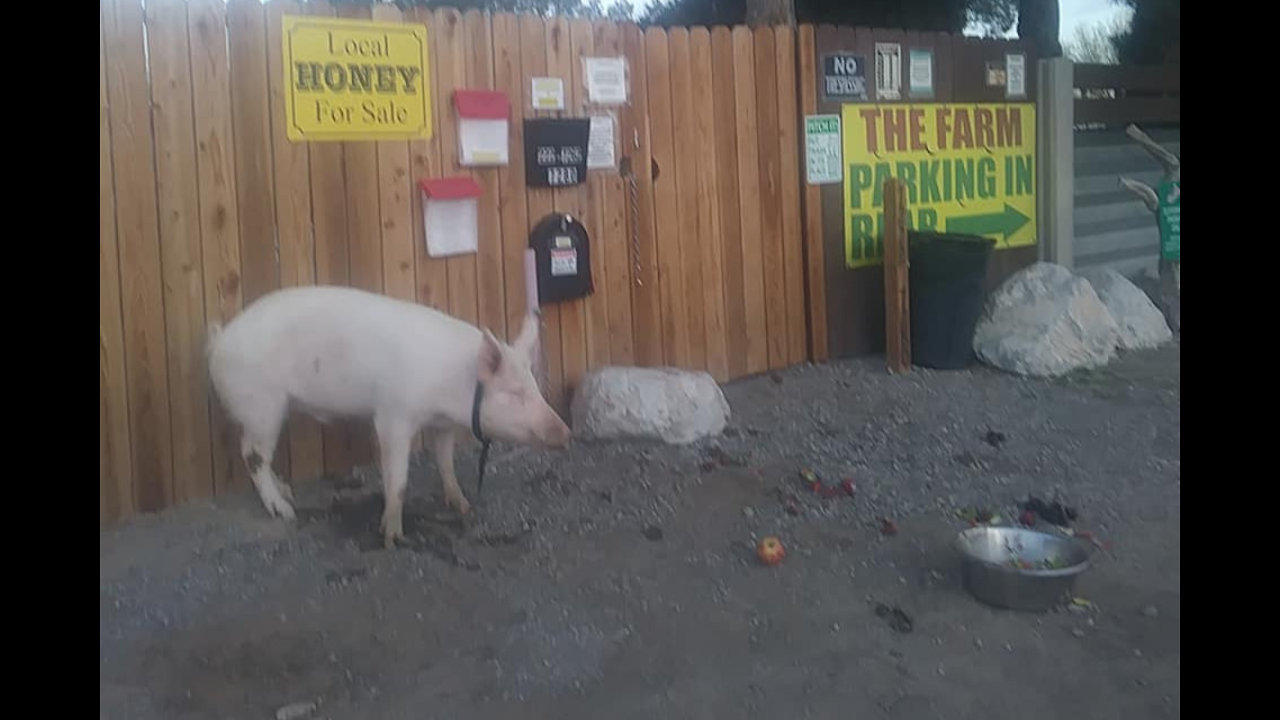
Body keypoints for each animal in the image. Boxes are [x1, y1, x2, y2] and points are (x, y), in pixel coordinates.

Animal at [207, 283, 568, 545]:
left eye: (535, 387)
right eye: (515, 393)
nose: (565, 432)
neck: (453, 384)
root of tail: (219, 341)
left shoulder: (442, 425)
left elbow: (445, 462)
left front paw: (462, 506)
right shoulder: (394, 416)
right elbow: (398, 479)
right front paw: (393, 536)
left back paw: (286, 492)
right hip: (262, 406)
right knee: (251, 455)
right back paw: (284, 511)